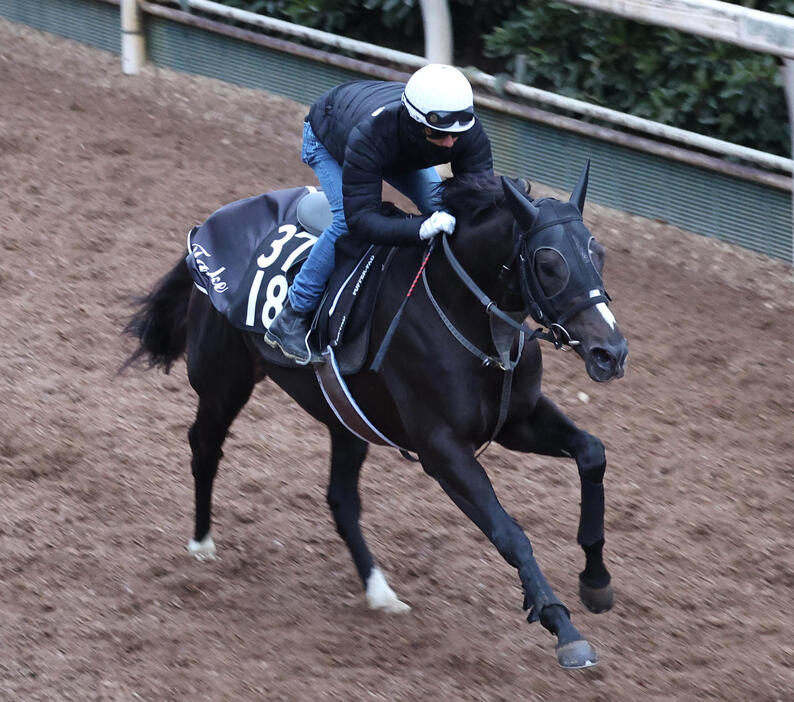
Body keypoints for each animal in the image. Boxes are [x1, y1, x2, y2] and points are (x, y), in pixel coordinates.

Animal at [124, 165, 628, 672]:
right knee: (205, 447)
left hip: (345, 416)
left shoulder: (517, 421)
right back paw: (202, 543)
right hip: (224, 382)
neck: (468, 315)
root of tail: (208, 227)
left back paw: (380, 591)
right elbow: (511, 534)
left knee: (341, 499)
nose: (611, 352)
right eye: (548, 263)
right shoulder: (441, 449)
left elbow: (593, 452)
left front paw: (596, 581)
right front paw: (563, 628)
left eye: (599, 253)